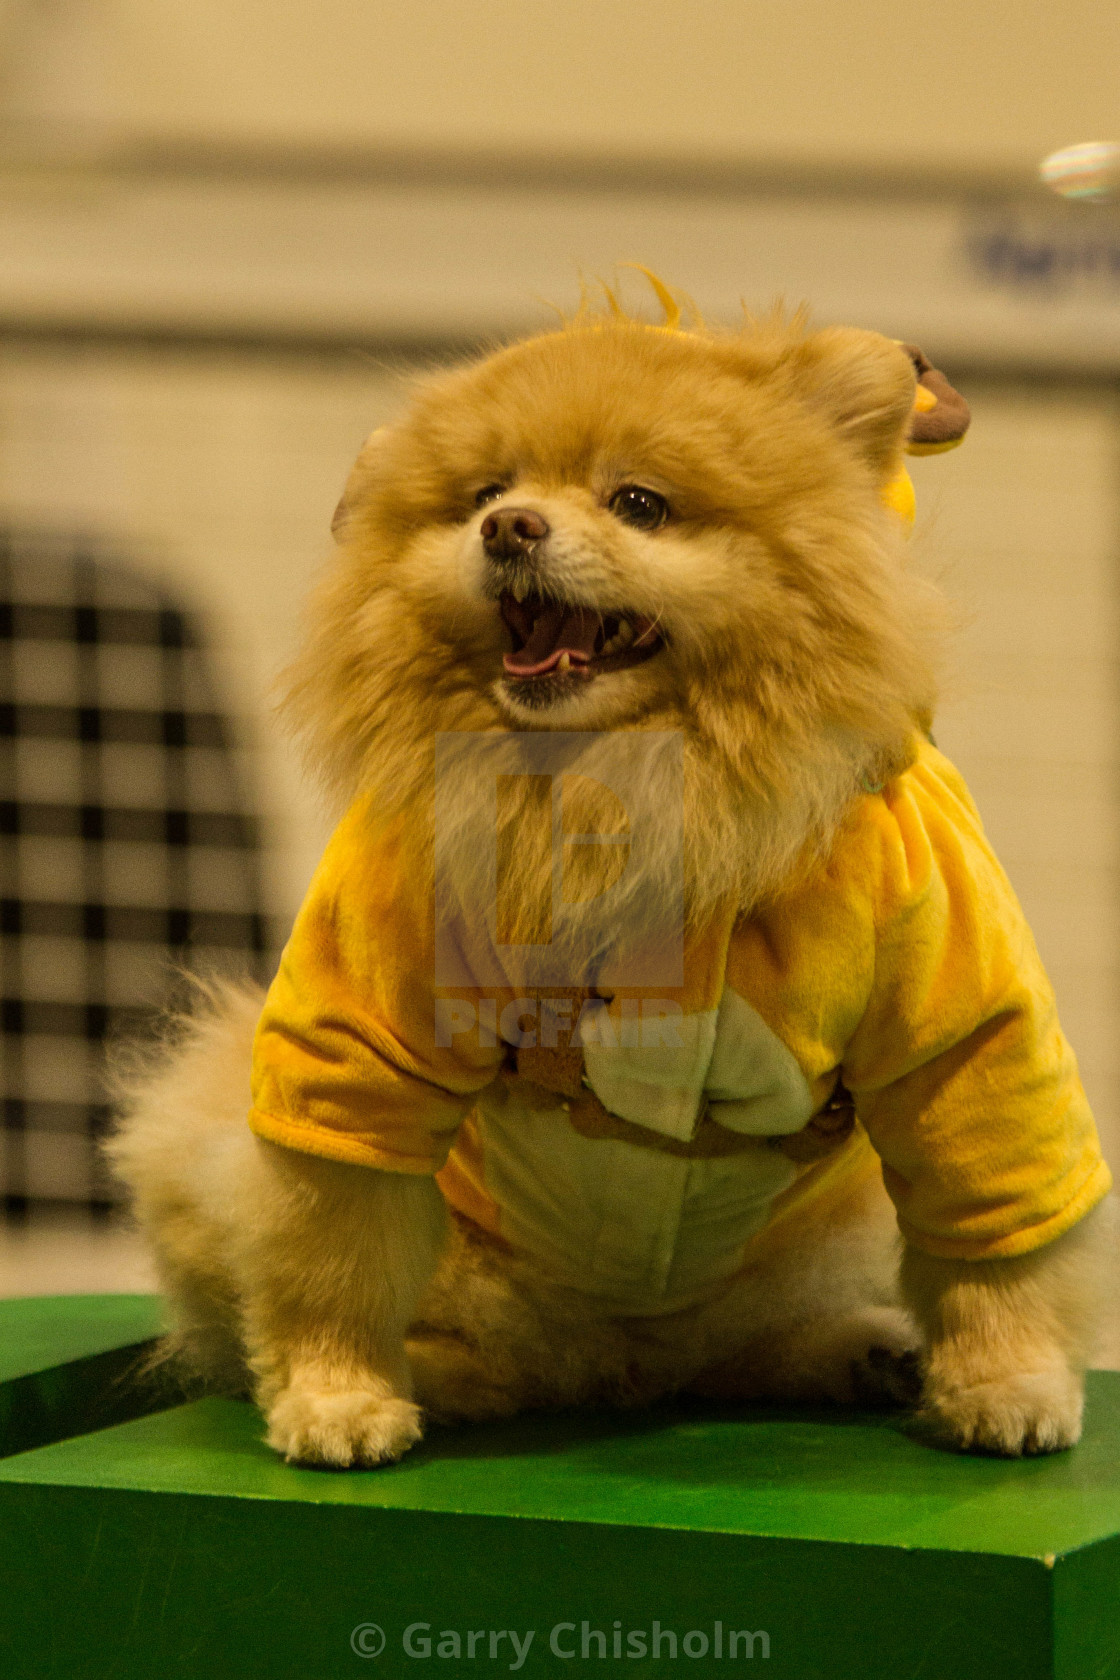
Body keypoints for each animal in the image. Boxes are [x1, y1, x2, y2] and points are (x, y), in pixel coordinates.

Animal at [107, 292, 1114, 1471]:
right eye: (484, 495)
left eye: (638, 503)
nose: (510, 528)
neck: (621, 782)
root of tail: (623, 1358)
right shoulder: (360, 1045)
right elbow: (334, 1246)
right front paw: (339, 1397)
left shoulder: (959, 1020)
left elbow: (993, 1216)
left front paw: (1008, 1383)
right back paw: (443, 1371)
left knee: (740, 1343)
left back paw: (857, 1350)